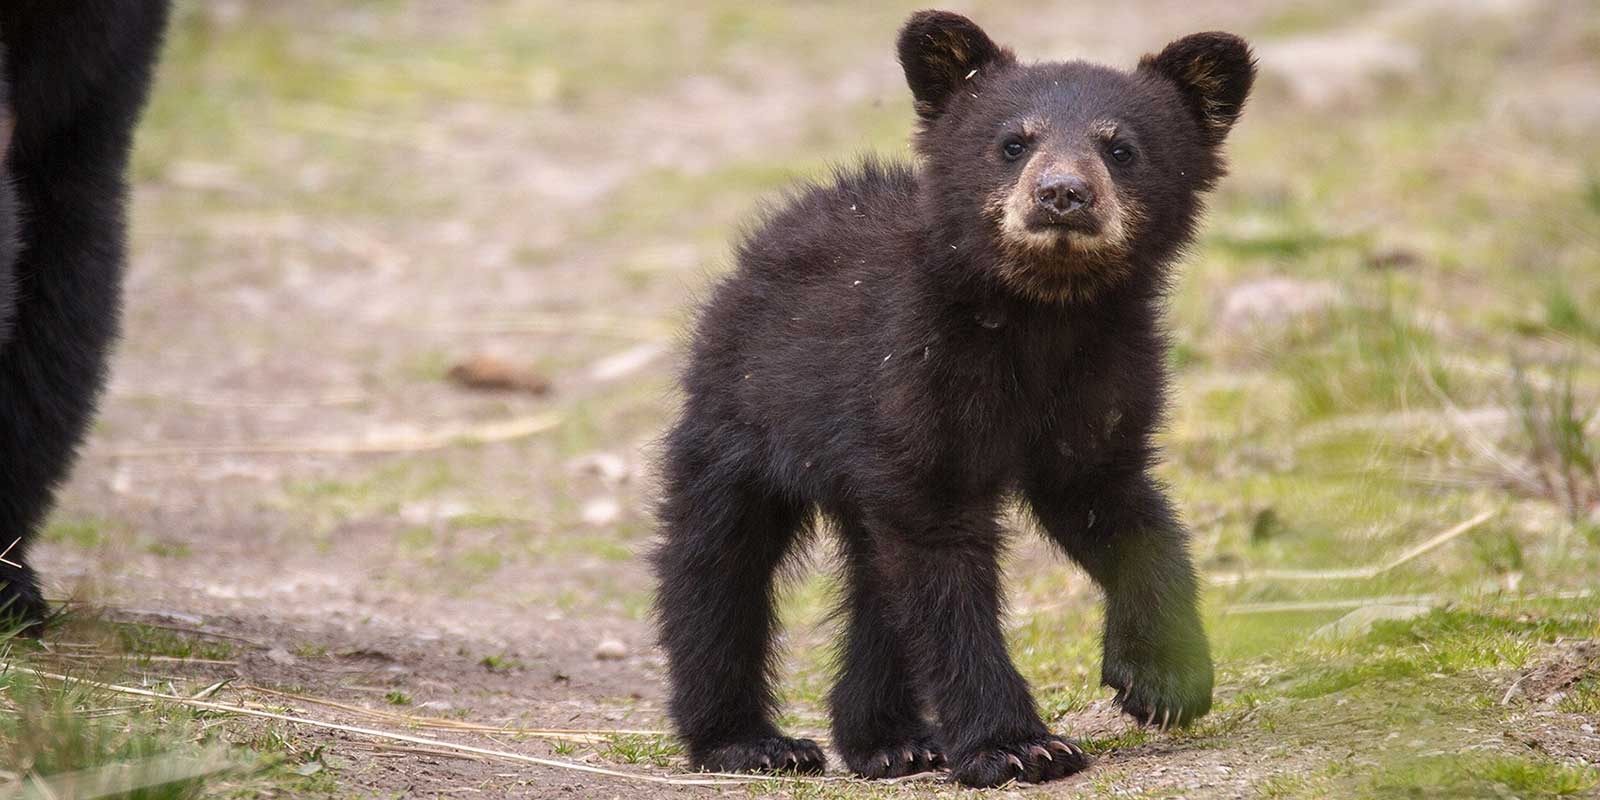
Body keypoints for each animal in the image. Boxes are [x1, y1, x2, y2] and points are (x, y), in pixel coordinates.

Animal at [651, 9, 1255, 788]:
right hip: (747, 415)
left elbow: (1117, 507)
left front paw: (1164, 677)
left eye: (1121, 148)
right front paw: (1020, 746)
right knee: (719, 560)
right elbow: (944, 575)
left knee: (875, 580)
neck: (1039, 316)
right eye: (1013, 143)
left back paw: (890, 740)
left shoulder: (1105, 376)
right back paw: (748, 740)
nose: (1063, 194)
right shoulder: (918, 375)